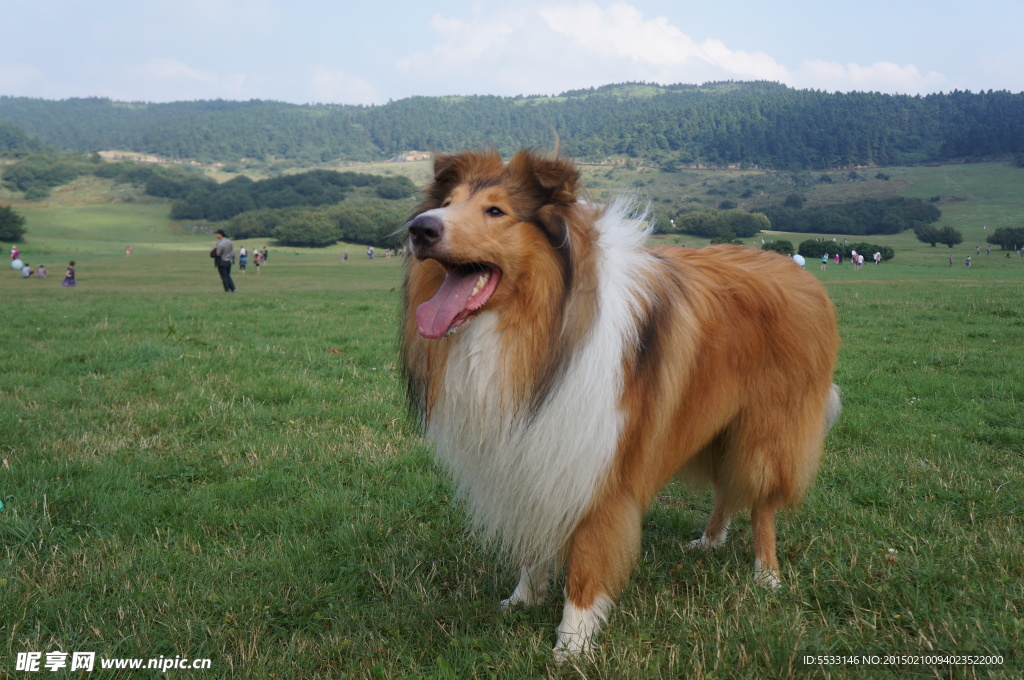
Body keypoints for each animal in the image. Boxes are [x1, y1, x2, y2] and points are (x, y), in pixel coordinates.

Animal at [399, 148, 839, 659]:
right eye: (446, 203)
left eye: (495, 211)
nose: (420, 229)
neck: (541, 332)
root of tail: (797, 272)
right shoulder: (534, 455)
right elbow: (535, 541)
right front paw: (524, 598)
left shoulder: (602, 465)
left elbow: (588, 561)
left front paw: (572, 642)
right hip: (718, 425)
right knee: (728, 489)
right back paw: (709, 541)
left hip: (766, 432)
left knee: (761, 502)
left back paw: (766, 573)